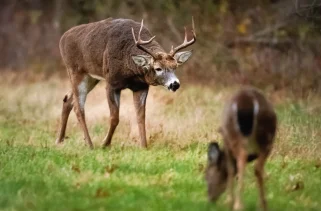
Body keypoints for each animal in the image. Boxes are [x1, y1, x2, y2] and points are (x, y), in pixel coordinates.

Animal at [55, 17, 195, 148]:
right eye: (158, 68)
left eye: (175, 66)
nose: (175, 84)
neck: (130, 69)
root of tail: (62, 38)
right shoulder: (111, 83)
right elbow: (114, 118)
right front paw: (105, 144)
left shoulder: (141, 86)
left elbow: (141, 117)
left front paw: (144, 146)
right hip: (75, 70)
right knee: (79, 108)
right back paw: (90, 145)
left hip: (92, 77)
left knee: (68, 99)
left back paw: (59, 140)